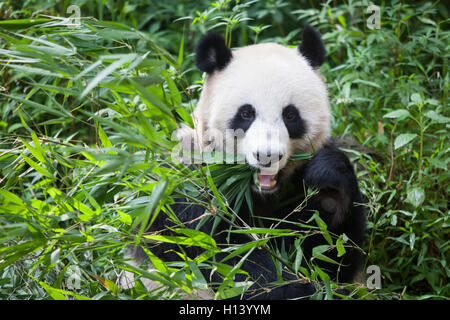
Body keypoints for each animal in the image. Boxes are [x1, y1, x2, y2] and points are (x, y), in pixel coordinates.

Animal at [125, 25, 366, 300]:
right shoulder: (193, 192)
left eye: (290, 114)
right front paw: (305, 289)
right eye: (246, 113)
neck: (258, 193)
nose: (267, 155)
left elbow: (331, 252)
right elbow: (234, 260)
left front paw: (328, 185)